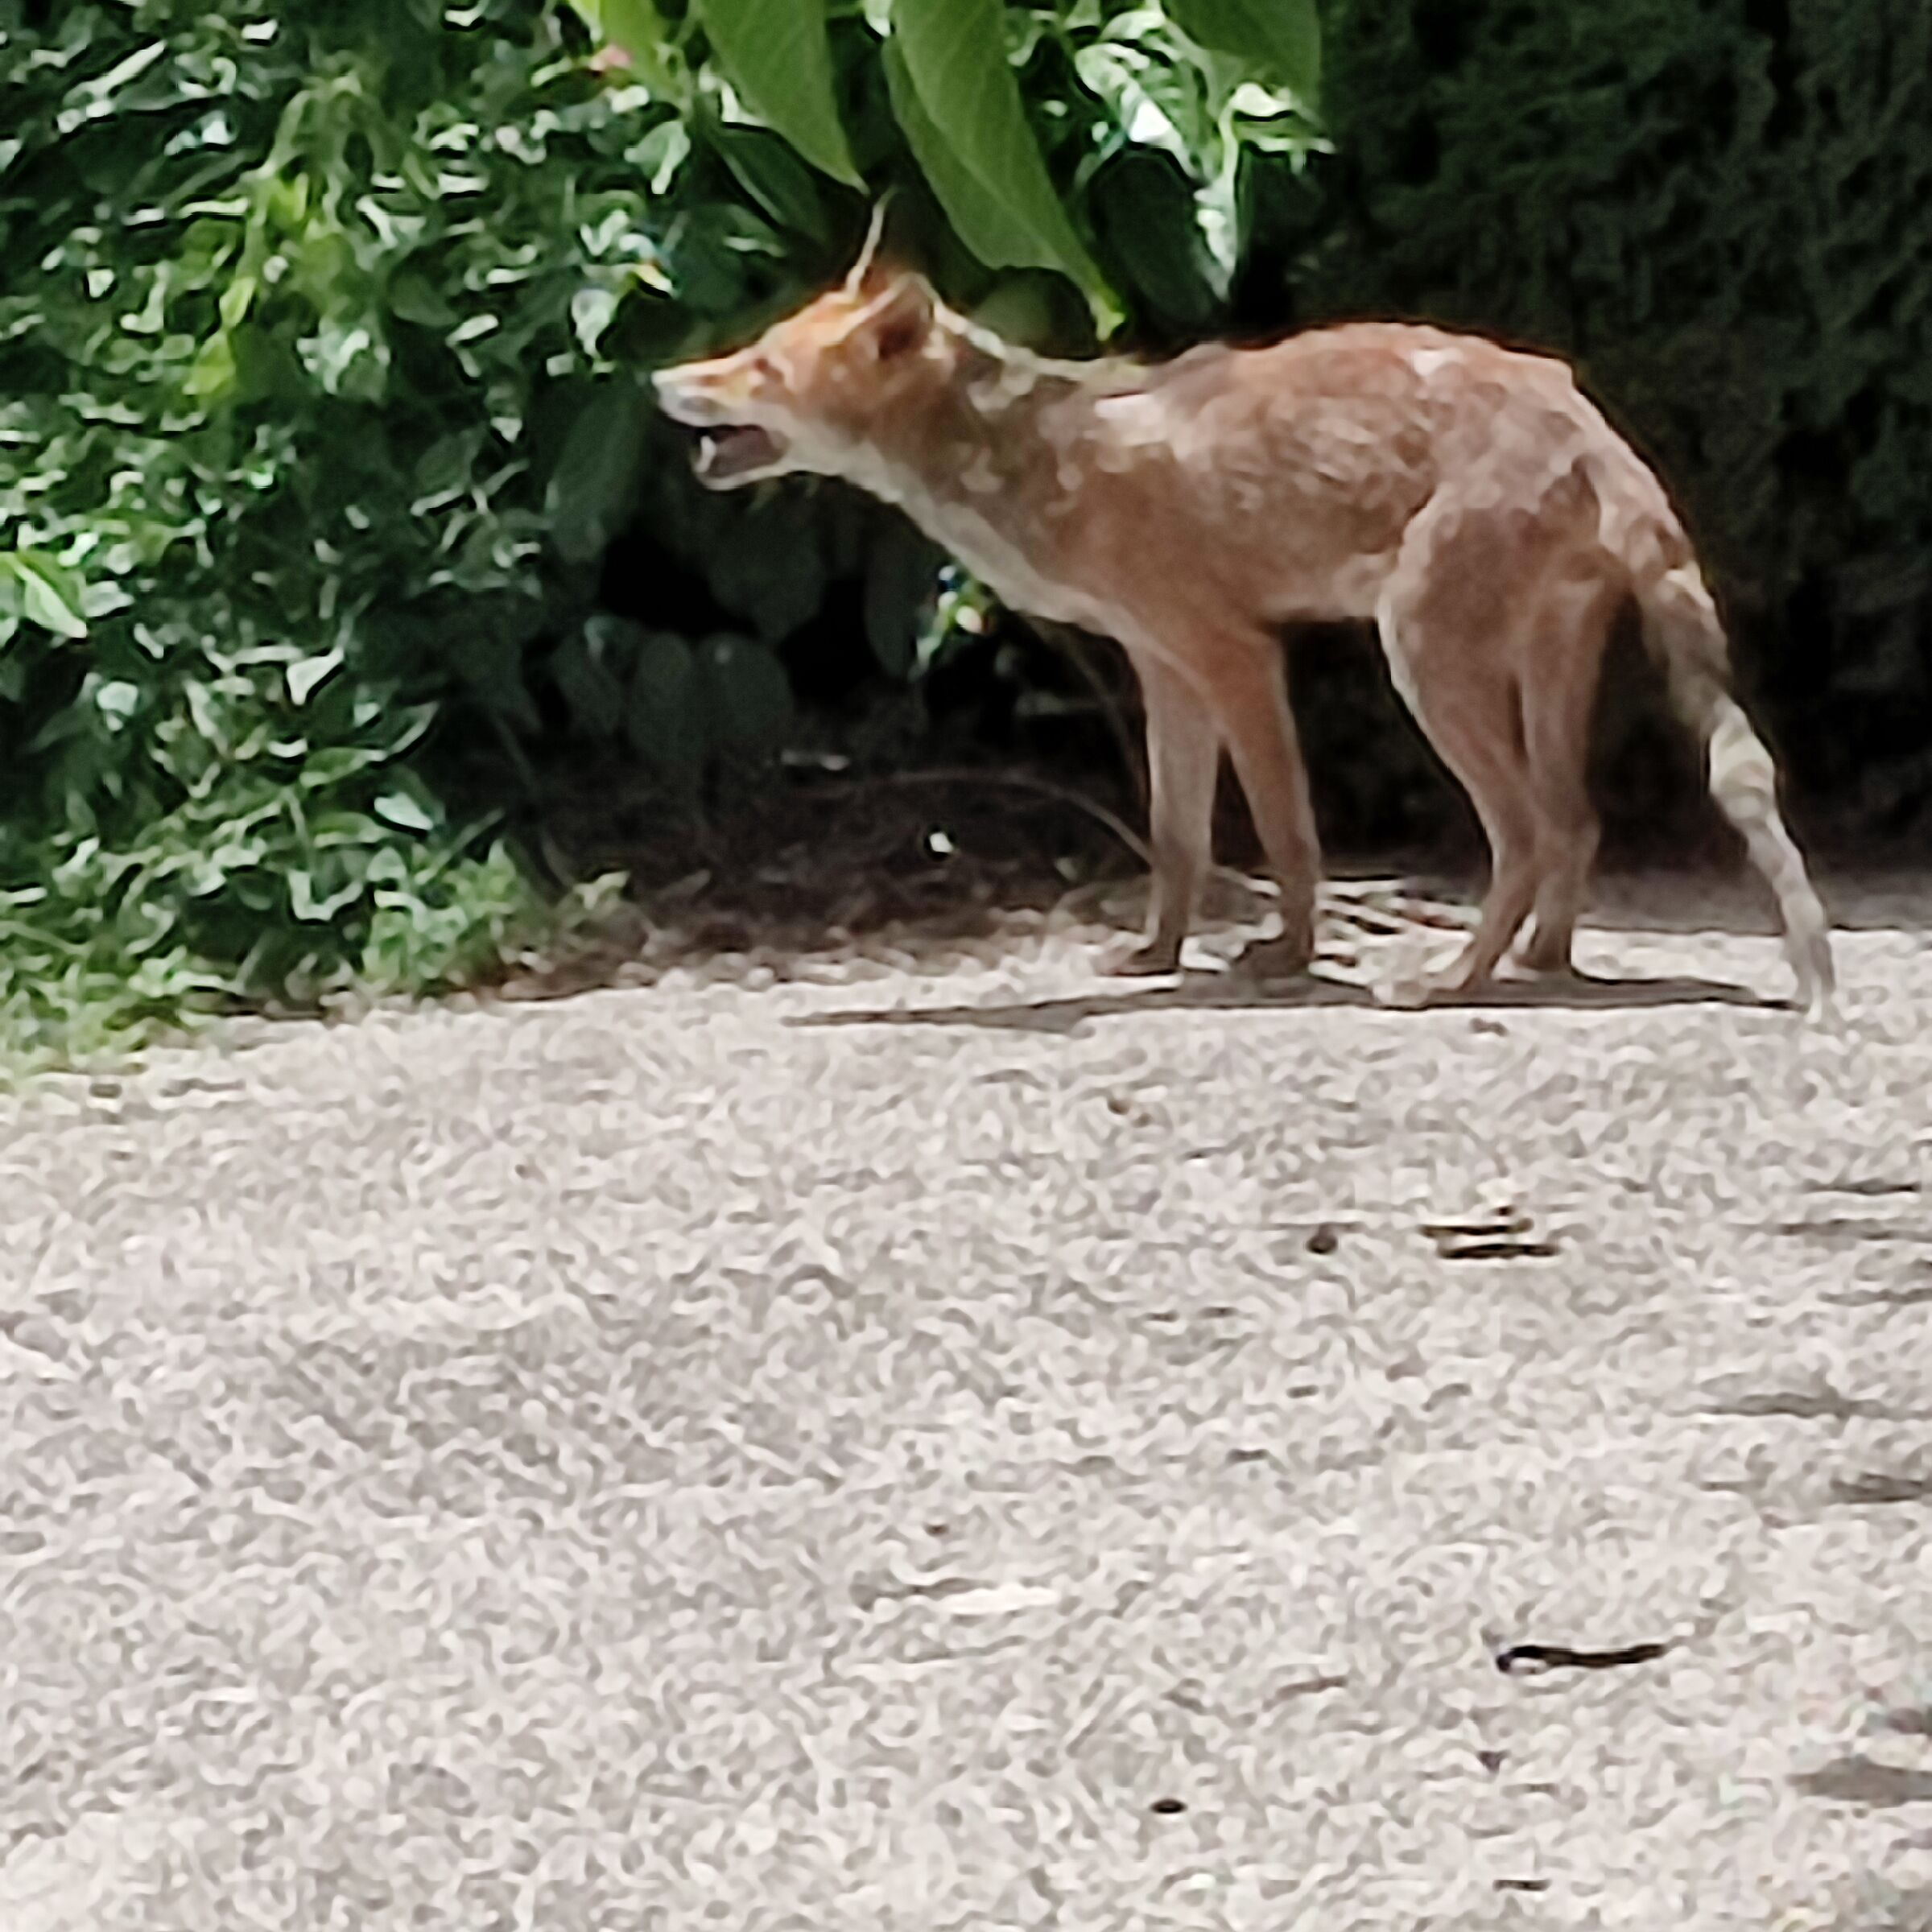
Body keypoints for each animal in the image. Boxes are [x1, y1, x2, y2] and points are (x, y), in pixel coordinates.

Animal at [652, 220, 1834, 1012]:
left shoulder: (1235, 656)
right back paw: (1539, 967)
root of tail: (1589, 423)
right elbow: (1178, 840)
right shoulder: (1161, 666)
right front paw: (1157, 959)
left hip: (1424, 661)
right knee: (1577, 822)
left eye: (759, 366)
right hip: (1539, 664)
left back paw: (1456, 978)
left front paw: (1289, 960)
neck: (1054, 461)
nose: (662, 377)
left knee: (1530, 832)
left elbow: (1285, 834)